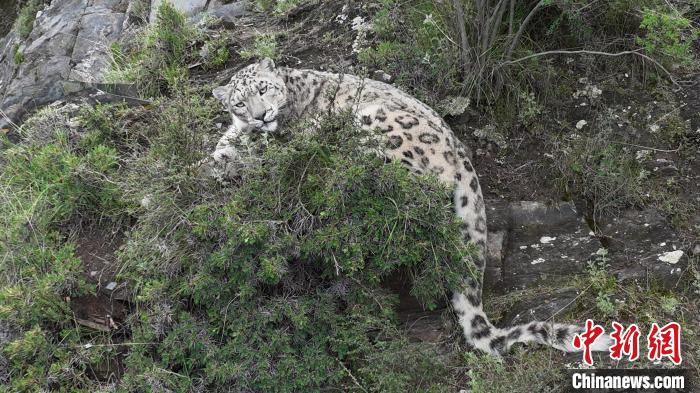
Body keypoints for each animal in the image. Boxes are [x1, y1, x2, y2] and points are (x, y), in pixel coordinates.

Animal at [205, 58, 608, 356]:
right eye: (239, 102)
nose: (260, 116)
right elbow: (217, 156)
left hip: (374, 126)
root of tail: (461, 154)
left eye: (263, 88)